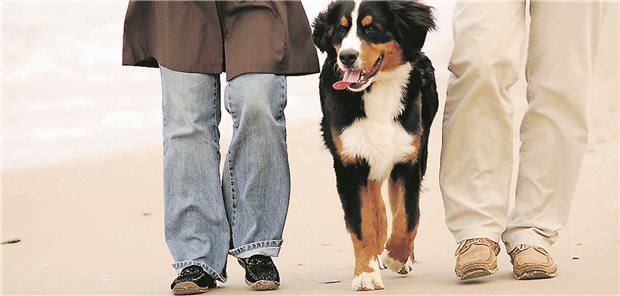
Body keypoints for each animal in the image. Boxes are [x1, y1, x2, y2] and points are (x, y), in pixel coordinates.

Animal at [312, 0, 438, 292]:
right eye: (341, 30)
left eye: (371, 28)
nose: (346, 56)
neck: (376, 91)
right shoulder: (349, 163)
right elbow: (361, 225)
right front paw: (366, 273)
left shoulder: (408, 159)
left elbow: (408, 217)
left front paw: (397, 256)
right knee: (375, 206)